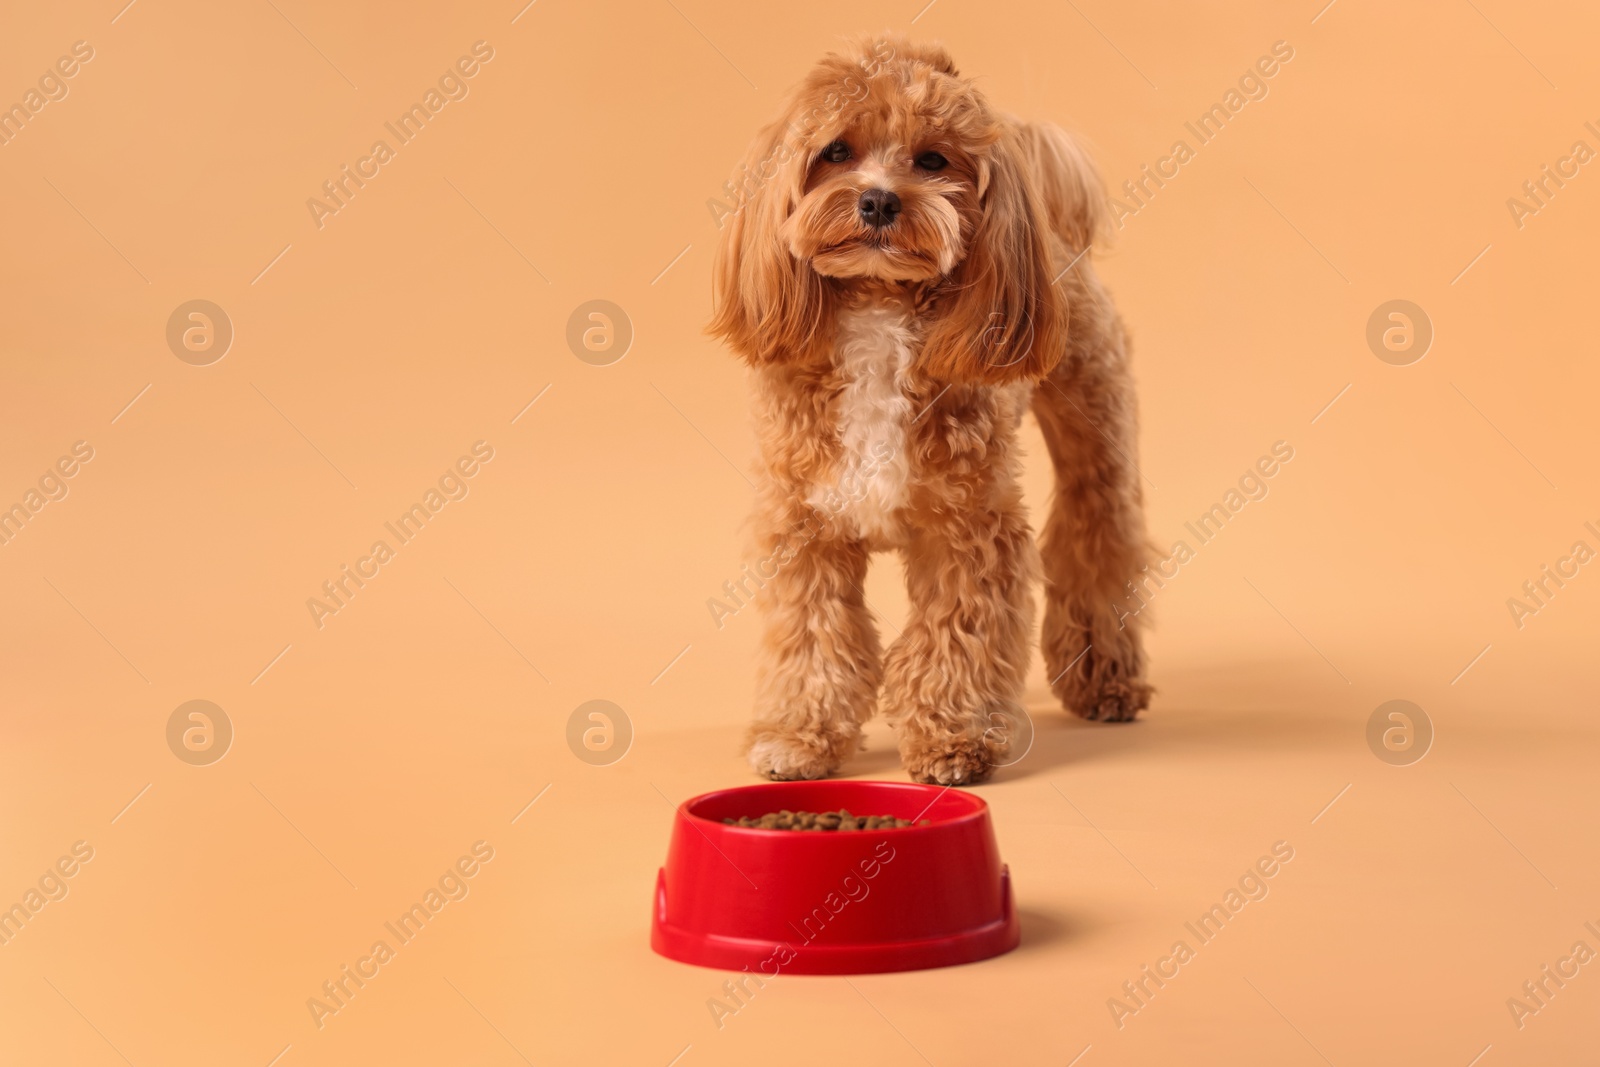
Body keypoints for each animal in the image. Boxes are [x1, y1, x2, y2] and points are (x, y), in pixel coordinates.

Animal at [713, 35, 1152, 783]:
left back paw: (1108, 681)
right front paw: (799, 738)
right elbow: (813, 637)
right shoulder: (805, 525)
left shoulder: (968, 526)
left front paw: (954, 741)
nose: (878, 200)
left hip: (1097, 435)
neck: (878, 308)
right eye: (836, 150)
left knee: (1099, 543)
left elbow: (955, 636)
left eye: (933, 160)